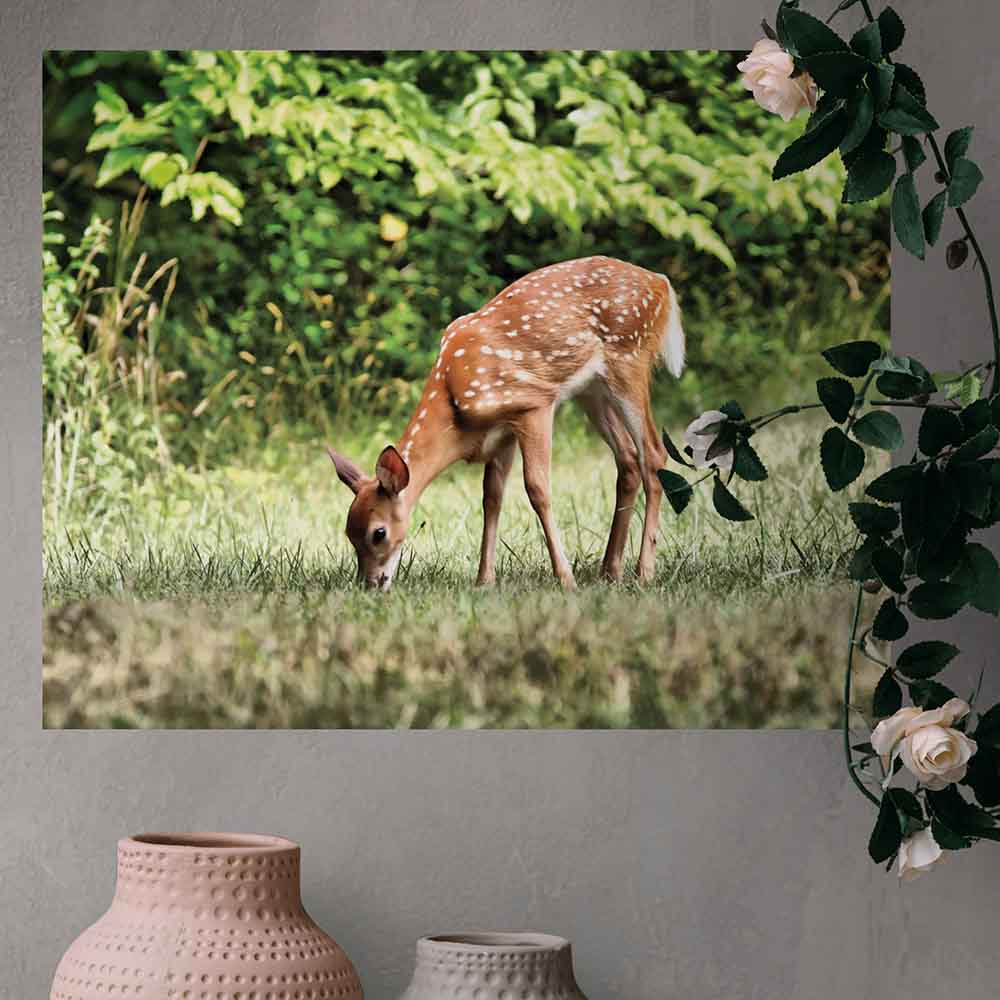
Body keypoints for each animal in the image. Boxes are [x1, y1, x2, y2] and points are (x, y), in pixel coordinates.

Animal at [326, 255, 685, 591]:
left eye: (378, 533)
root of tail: (661, 283)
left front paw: (565, 578)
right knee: (628, 458)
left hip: (630, 359)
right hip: (592, 390)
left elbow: (537, 489)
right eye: (348, 533)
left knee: (653, 453)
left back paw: (643, 572)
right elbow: (492, 497)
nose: (371, 583)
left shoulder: (533, 405)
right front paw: (484, 580)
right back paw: (610, 571)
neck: (455, 402)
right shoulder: (502, 432)